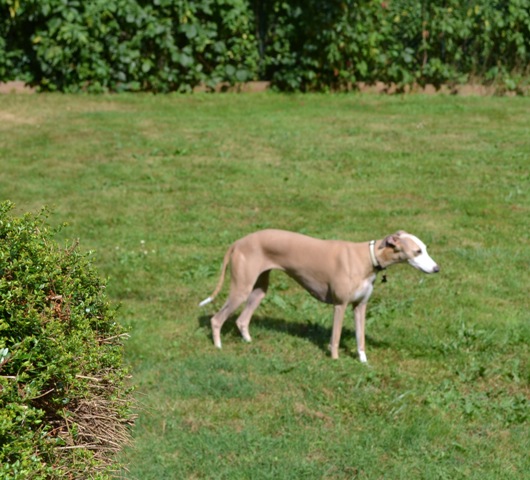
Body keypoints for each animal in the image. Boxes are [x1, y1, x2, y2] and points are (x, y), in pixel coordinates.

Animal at [198, 229, 438, 360]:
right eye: (418, 251)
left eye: (426, 248)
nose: (437, 269)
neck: (368, 257)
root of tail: (238, 242)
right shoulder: (340, 305)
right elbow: (335, 338)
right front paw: (335, 360)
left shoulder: (360, 307)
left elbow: (360, 339)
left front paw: (363, 362)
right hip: (241, 289)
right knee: (216, 319)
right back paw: (218, 346)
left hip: (258, 290)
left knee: (242, 320)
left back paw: (248, 341)